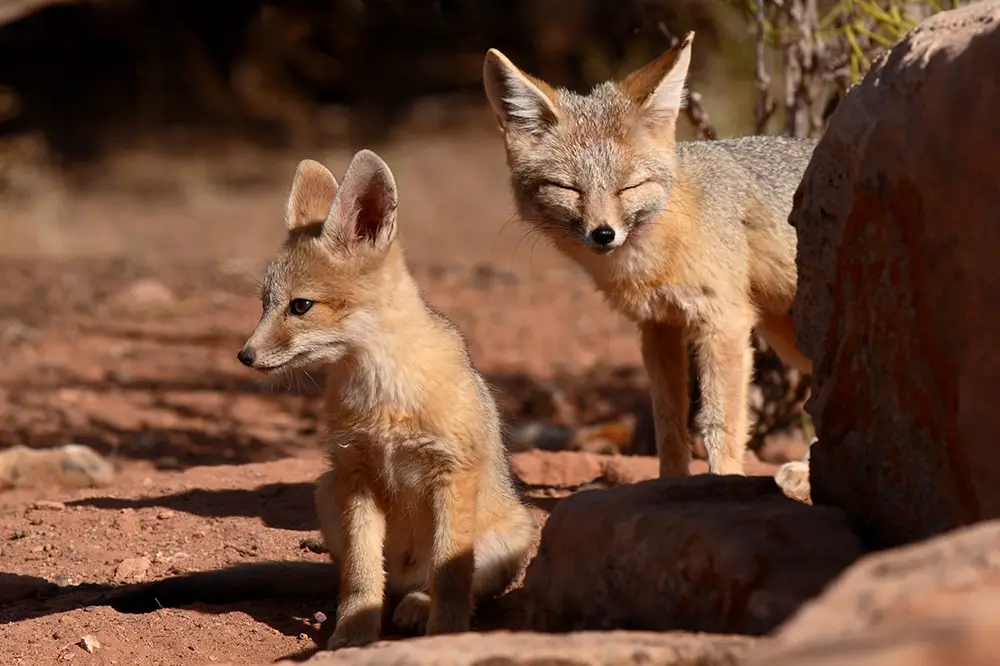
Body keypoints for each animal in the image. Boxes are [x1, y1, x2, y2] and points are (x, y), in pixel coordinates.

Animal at [237, 148, 536, 644]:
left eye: (300, 306)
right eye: (263, 305)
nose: (245, 355)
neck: (385, 400)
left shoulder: (451, 473)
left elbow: (451, 576)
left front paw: (446, 636)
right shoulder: (356, 473)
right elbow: (361, 576)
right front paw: (353, 635)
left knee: (438, 585)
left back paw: (418, 606)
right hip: (327, 492)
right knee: (378, 582)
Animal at [480, 32, 816, 478]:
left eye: (629, 187)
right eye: (568, 188)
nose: (603, 234)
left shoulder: (723, 322)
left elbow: (718, 424)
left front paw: (725, 481)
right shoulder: (659, 326)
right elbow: (668, 423)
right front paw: (671, 484)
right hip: (788, 336)